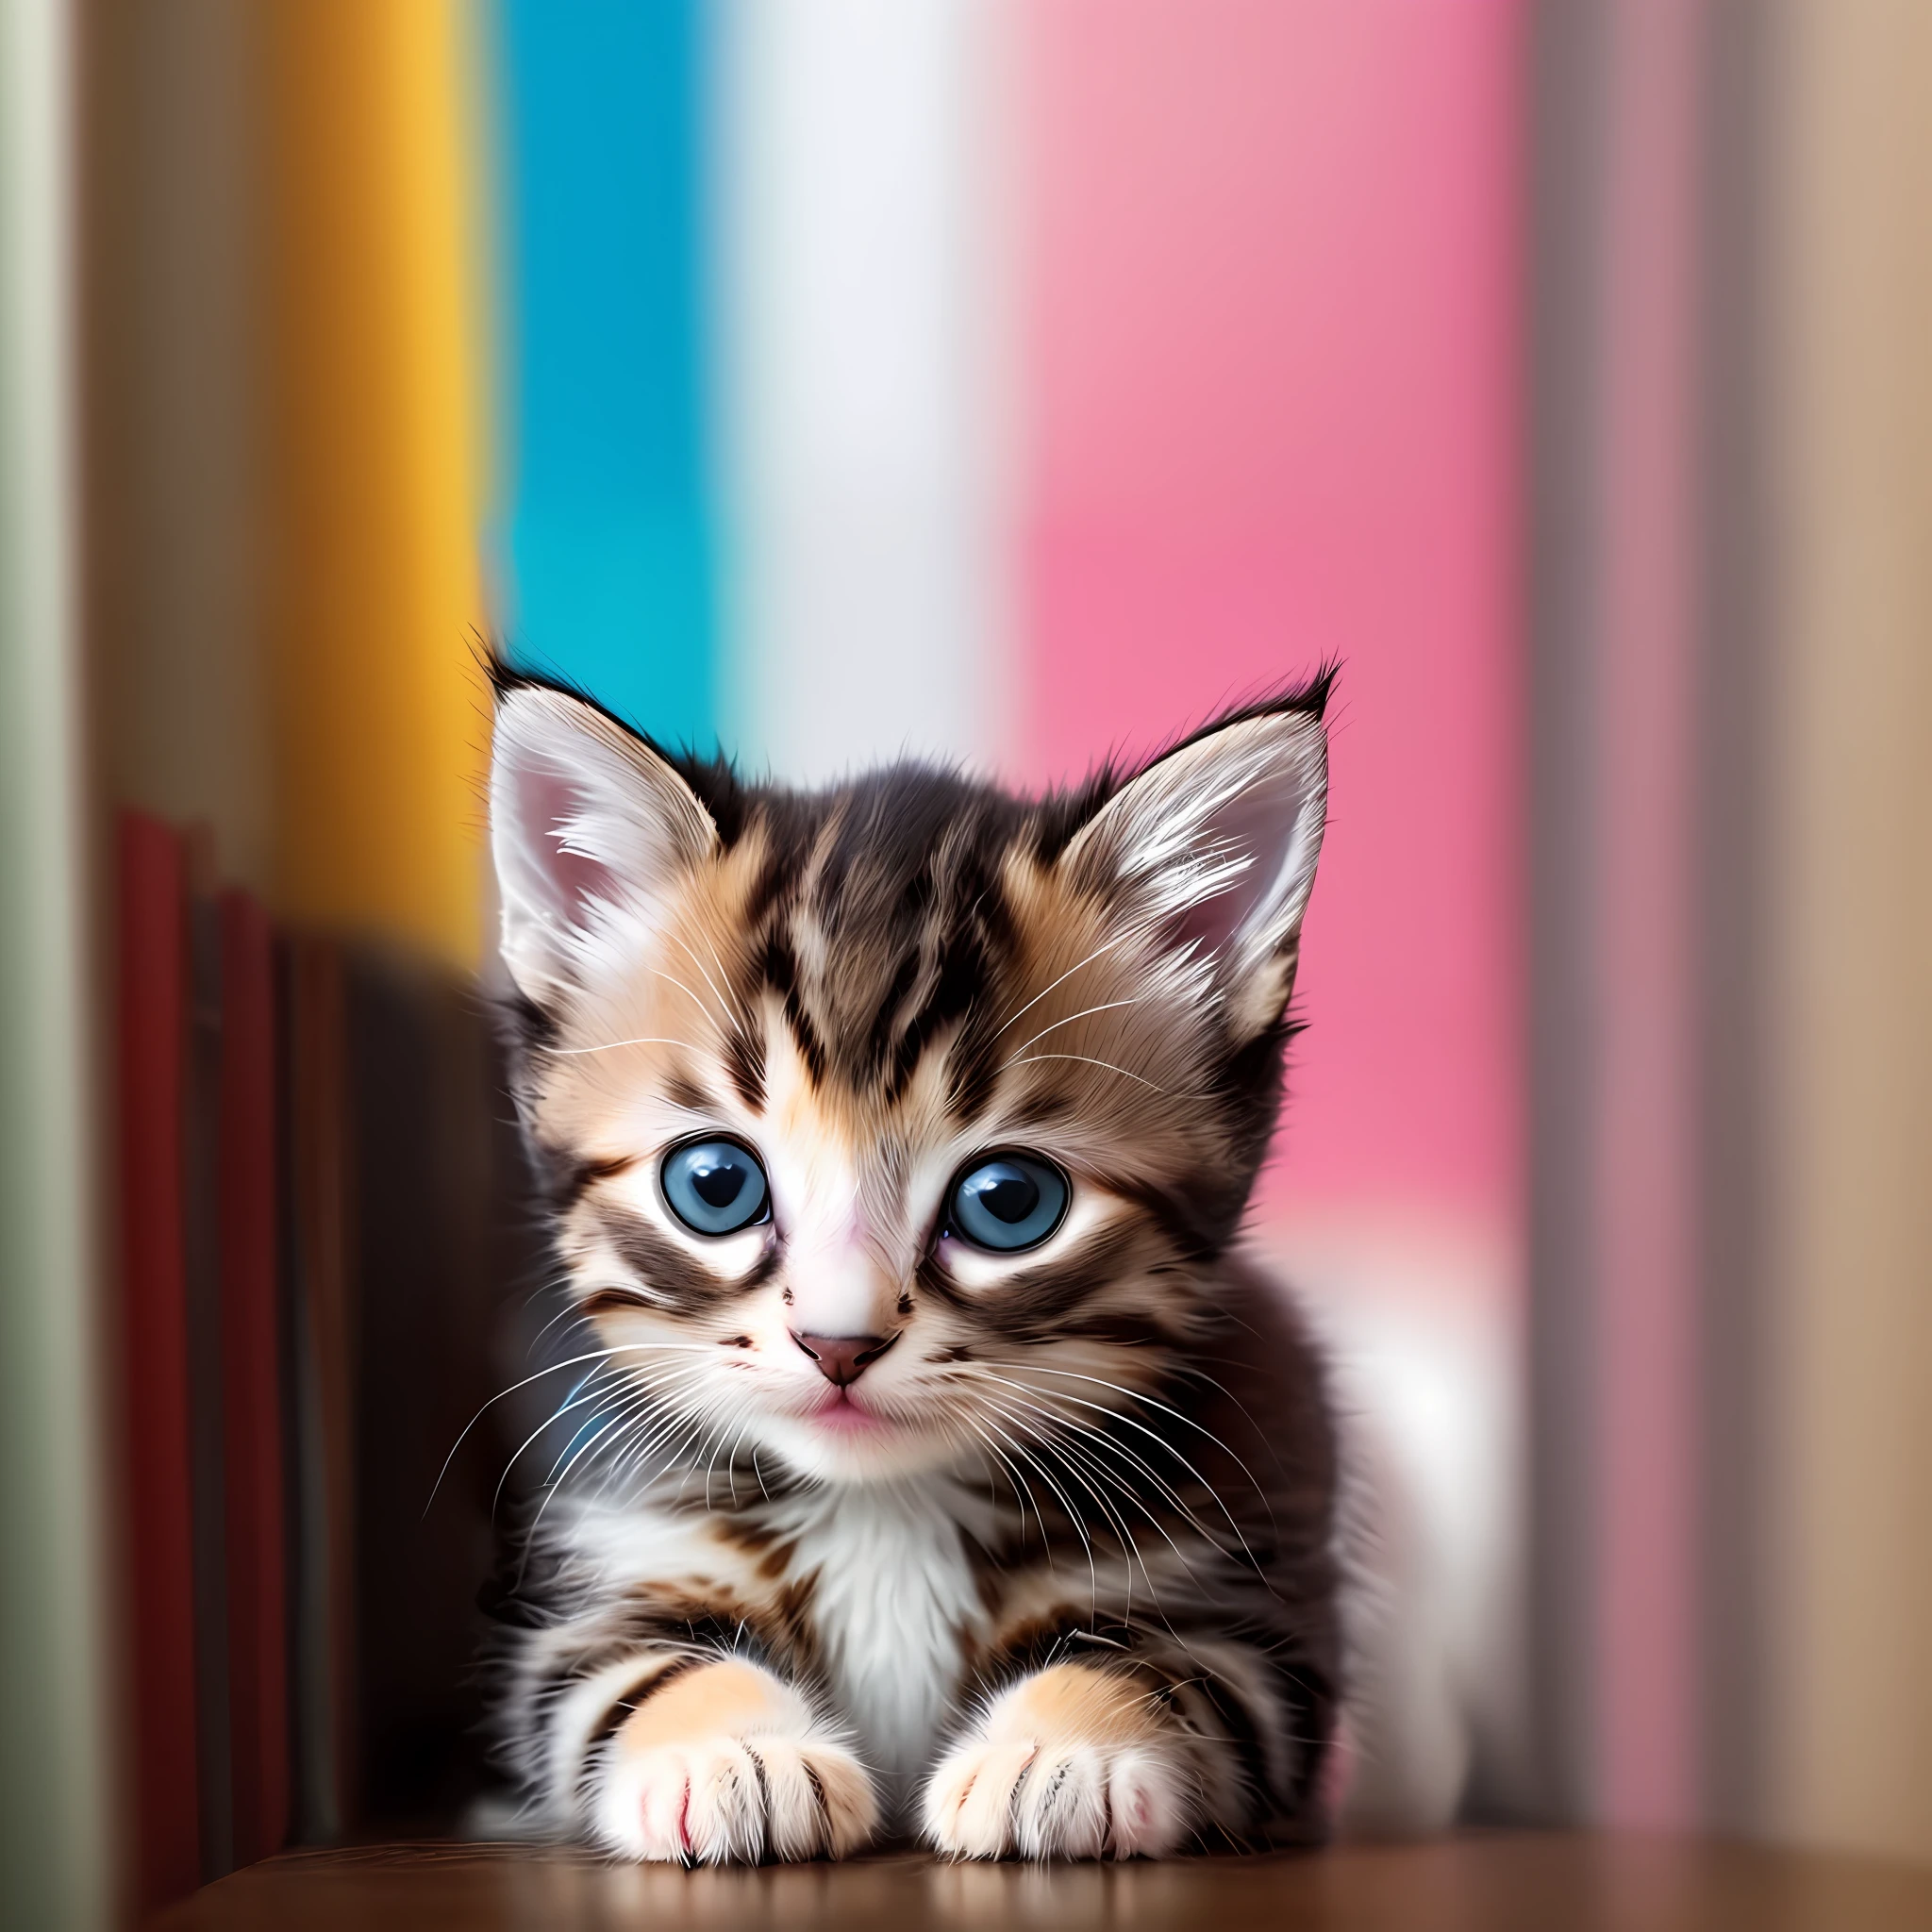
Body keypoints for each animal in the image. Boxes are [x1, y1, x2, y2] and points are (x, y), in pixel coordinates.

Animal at [491, 664, 1352, 1855]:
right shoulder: (601, 1578)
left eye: (1008, 1202)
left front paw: (1065, 1748)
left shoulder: (1257, 1620)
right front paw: (734, 1746)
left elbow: (1171, 1672)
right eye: (714, 1183)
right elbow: (627, 1674)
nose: (836, 1341)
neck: (883, 1507)